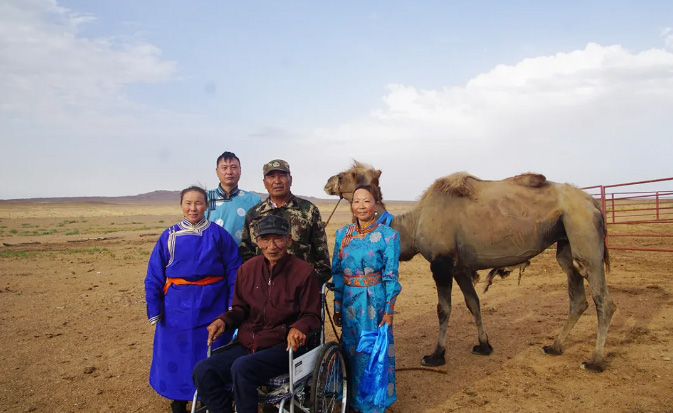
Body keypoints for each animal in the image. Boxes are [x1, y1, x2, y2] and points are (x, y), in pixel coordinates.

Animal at [324, 160, 616, 370]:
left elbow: (443, 309)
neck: (413, 225)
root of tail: (593, 202)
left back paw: (595, 361)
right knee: (578, 297)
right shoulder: (459, 268)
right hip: (565, 242)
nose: (327, 182)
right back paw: (554, 347)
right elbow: (473, 302)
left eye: (350, 173)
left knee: (604, 301)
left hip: (585, 236)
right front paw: (484, 345)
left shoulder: (441, 264)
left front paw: (436, 355)